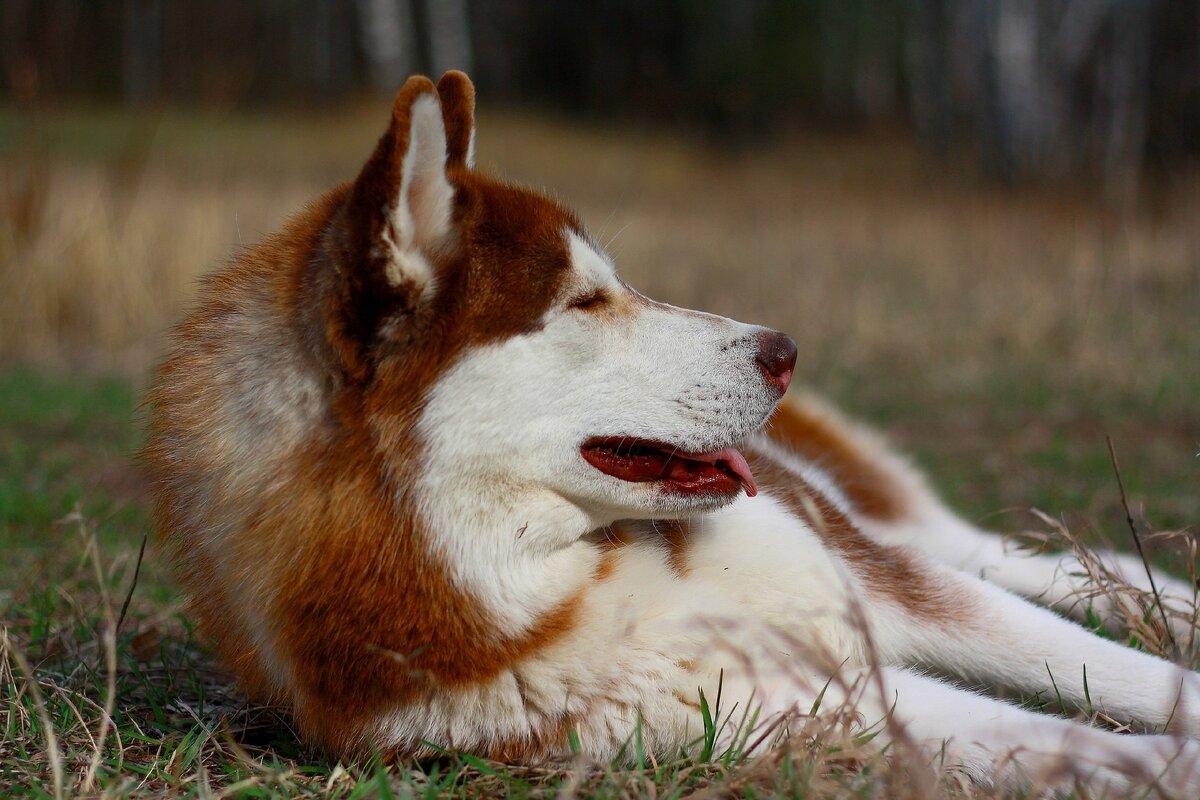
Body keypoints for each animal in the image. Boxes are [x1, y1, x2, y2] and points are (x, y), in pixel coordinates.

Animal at [147, 73, 1200, 796]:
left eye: (614, 281)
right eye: (585, 302)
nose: (786, 350)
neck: (582, 568)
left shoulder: (867, 583)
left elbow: (1127, 674)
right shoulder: (796, 703)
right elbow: (1078, 742)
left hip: (868, 515)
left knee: (1003, 559)